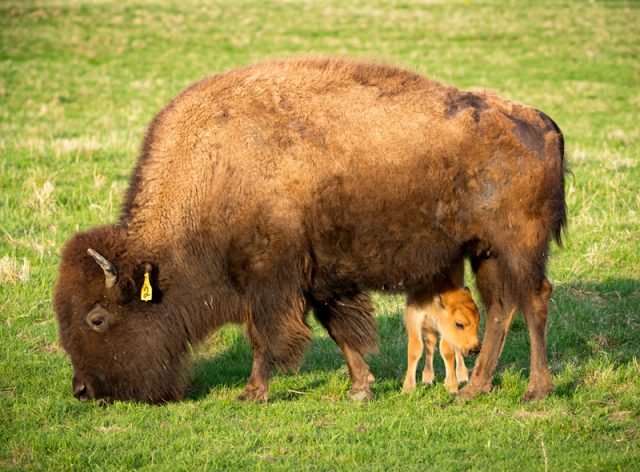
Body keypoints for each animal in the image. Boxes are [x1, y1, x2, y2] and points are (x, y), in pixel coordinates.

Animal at [55, 57, 564, 404]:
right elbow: (340, 329)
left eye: (96, 318)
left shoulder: (270, 281)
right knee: (501, 308)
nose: (83, 390)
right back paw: (475, 388)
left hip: (518, 247)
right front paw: (361, 386)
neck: (215, 171)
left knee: (534, 299)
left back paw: (535, 390)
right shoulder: (319, 278)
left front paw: (253, 392)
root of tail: (542, 122)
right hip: (486, 251)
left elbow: (266, 336)